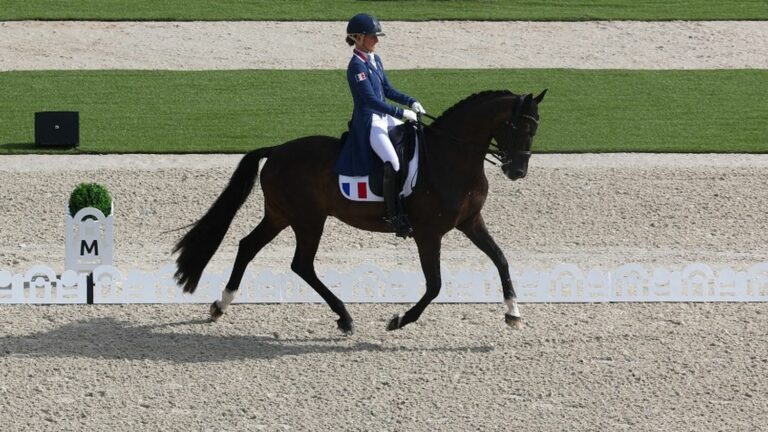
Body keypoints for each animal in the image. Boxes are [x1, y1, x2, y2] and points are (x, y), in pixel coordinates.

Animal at [174, 89, 544, 332]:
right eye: (519, 127)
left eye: (536, 128)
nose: (518, 171)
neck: (449, 158)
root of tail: (277, 150)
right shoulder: (428, 234)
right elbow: (435, 285)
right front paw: (399, 319)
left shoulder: (470, 221)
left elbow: (500, 259)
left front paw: (513, 312)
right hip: (308, 220)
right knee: (300, 264)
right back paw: (344, 316)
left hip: (280, 215)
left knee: (249, 247)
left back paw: (221, 305)